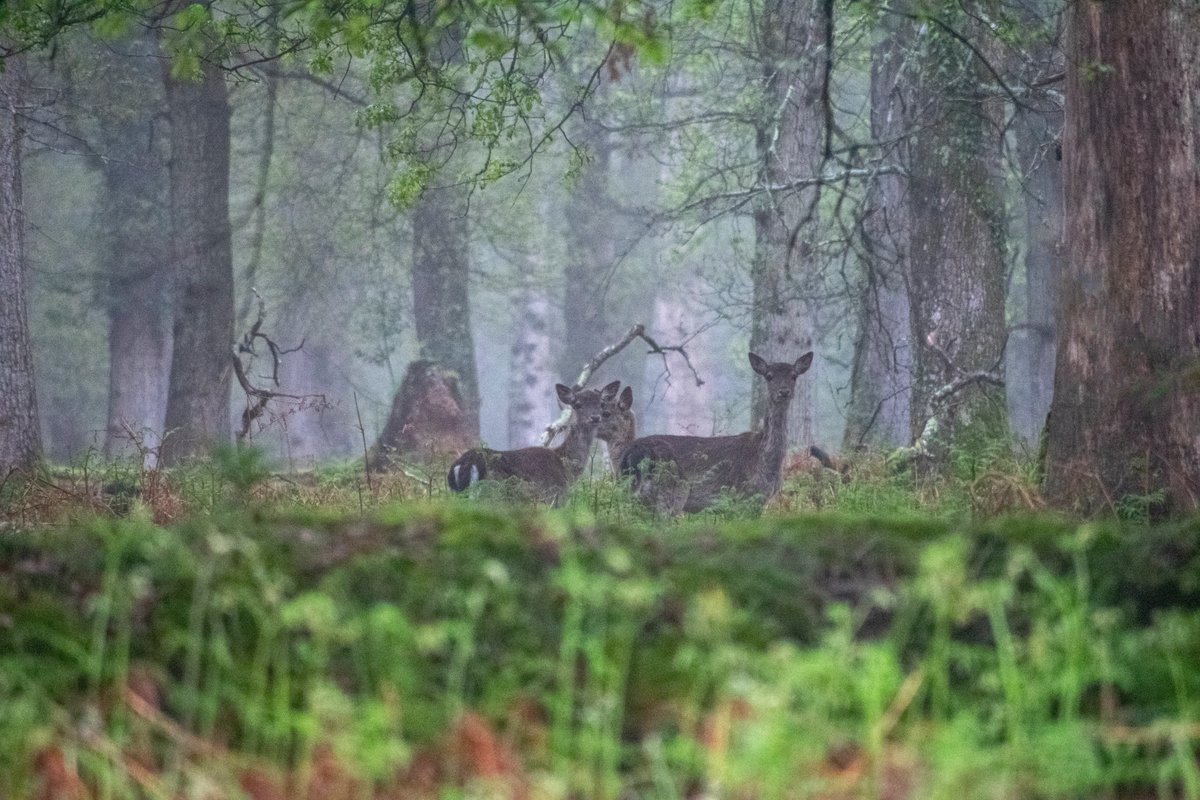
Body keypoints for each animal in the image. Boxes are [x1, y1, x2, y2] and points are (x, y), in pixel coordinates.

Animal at [447, 381, 621, 504]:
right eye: (577, 404)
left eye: (601, 404)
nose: (595, 417)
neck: (566, 466)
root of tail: (462, 465)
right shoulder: (553, 496)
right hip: (492, 495)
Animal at [618, 351, 814, 515]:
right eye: (769, 376)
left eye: (793, 376)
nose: (784, 391)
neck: (766, 463)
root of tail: (630, 454)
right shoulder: (742, 497)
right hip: (670, 491)